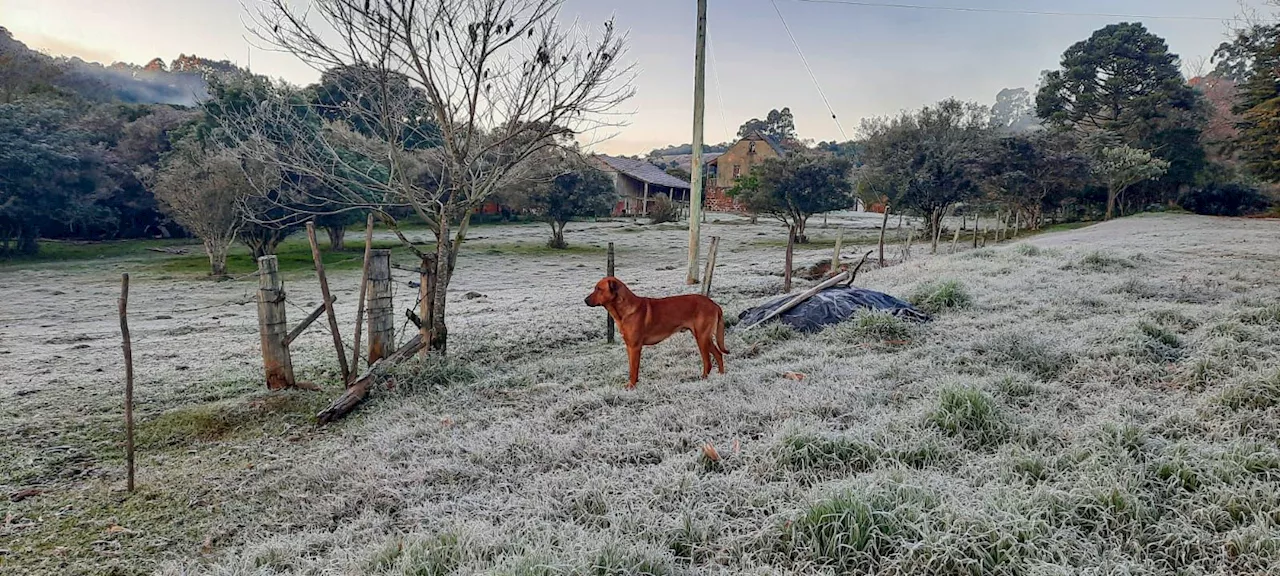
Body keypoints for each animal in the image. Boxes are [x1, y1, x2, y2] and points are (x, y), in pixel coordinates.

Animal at [583, 276, 727, 389]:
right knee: (718, 354)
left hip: (701, 337)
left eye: (599, 289)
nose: (585, 300)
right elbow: (631, 368)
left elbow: (633, 369)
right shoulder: (629, 346)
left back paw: (704, 379)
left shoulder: (635, 347)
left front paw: (632, 386)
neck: (624, 310)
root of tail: (714, 304)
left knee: (708, 362)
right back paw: (721, 375)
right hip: (704, 337)